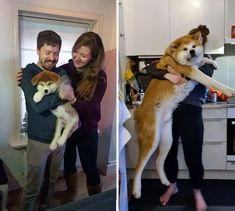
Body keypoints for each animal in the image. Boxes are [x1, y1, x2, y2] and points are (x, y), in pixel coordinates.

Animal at [132, 31, 235, 198]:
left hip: (167, 138)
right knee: (138, 167)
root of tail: (138, 111)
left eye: (193, 46)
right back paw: (136, 190)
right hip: (151, 139)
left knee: (158, 162)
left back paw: (165, 181)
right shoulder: (192, 72)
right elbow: (212, 81)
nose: (192, 51)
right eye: (185, 49)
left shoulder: (195, 67)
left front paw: (212, 62)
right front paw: (230, 91)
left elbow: (202, 60)